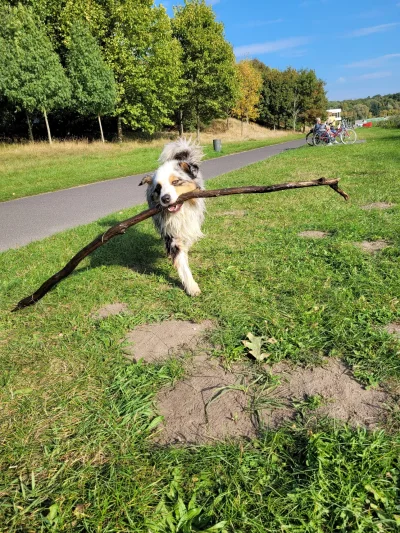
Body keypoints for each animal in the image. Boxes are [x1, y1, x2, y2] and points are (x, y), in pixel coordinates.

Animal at [139, 138, 205, 296]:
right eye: (158, 189)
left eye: (175, 182)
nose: (165, 199)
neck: (179, 213)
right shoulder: (171, 233)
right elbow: (181, 262)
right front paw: (191, 286)